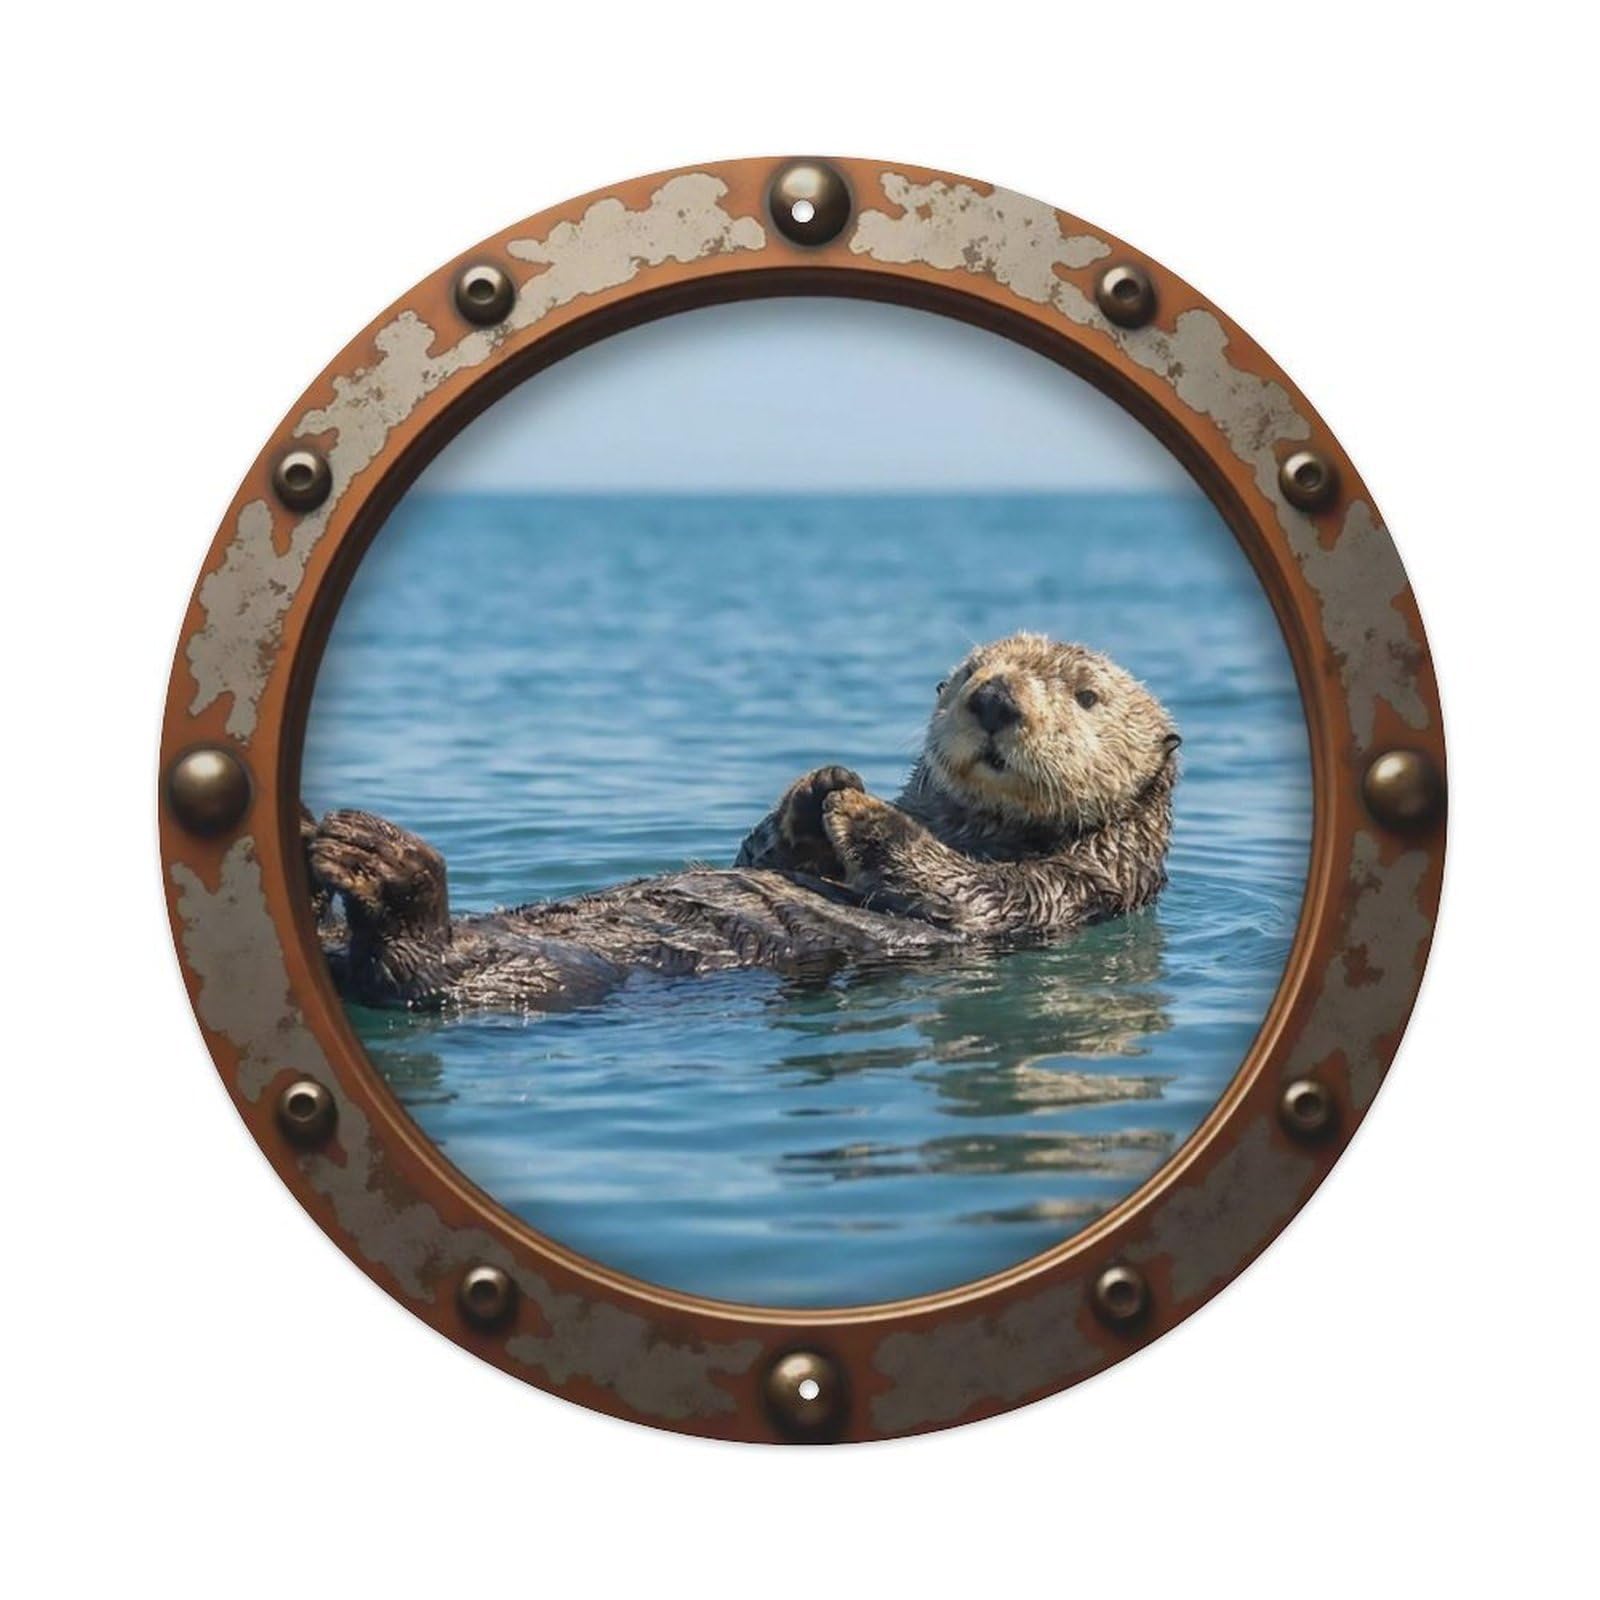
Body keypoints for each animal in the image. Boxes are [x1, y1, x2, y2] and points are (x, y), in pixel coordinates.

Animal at [307, 634, 1180, 1012]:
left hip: (538, 976)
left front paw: (860, 810)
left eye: (1088, 697)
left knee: (414, 973)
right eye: (967, 671)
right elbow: (763, 851)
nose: (994, 698)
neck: (972, 824)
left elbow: (973, 895)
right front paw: (824, 786)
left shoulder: (1079, 887)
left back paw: (381, 867)